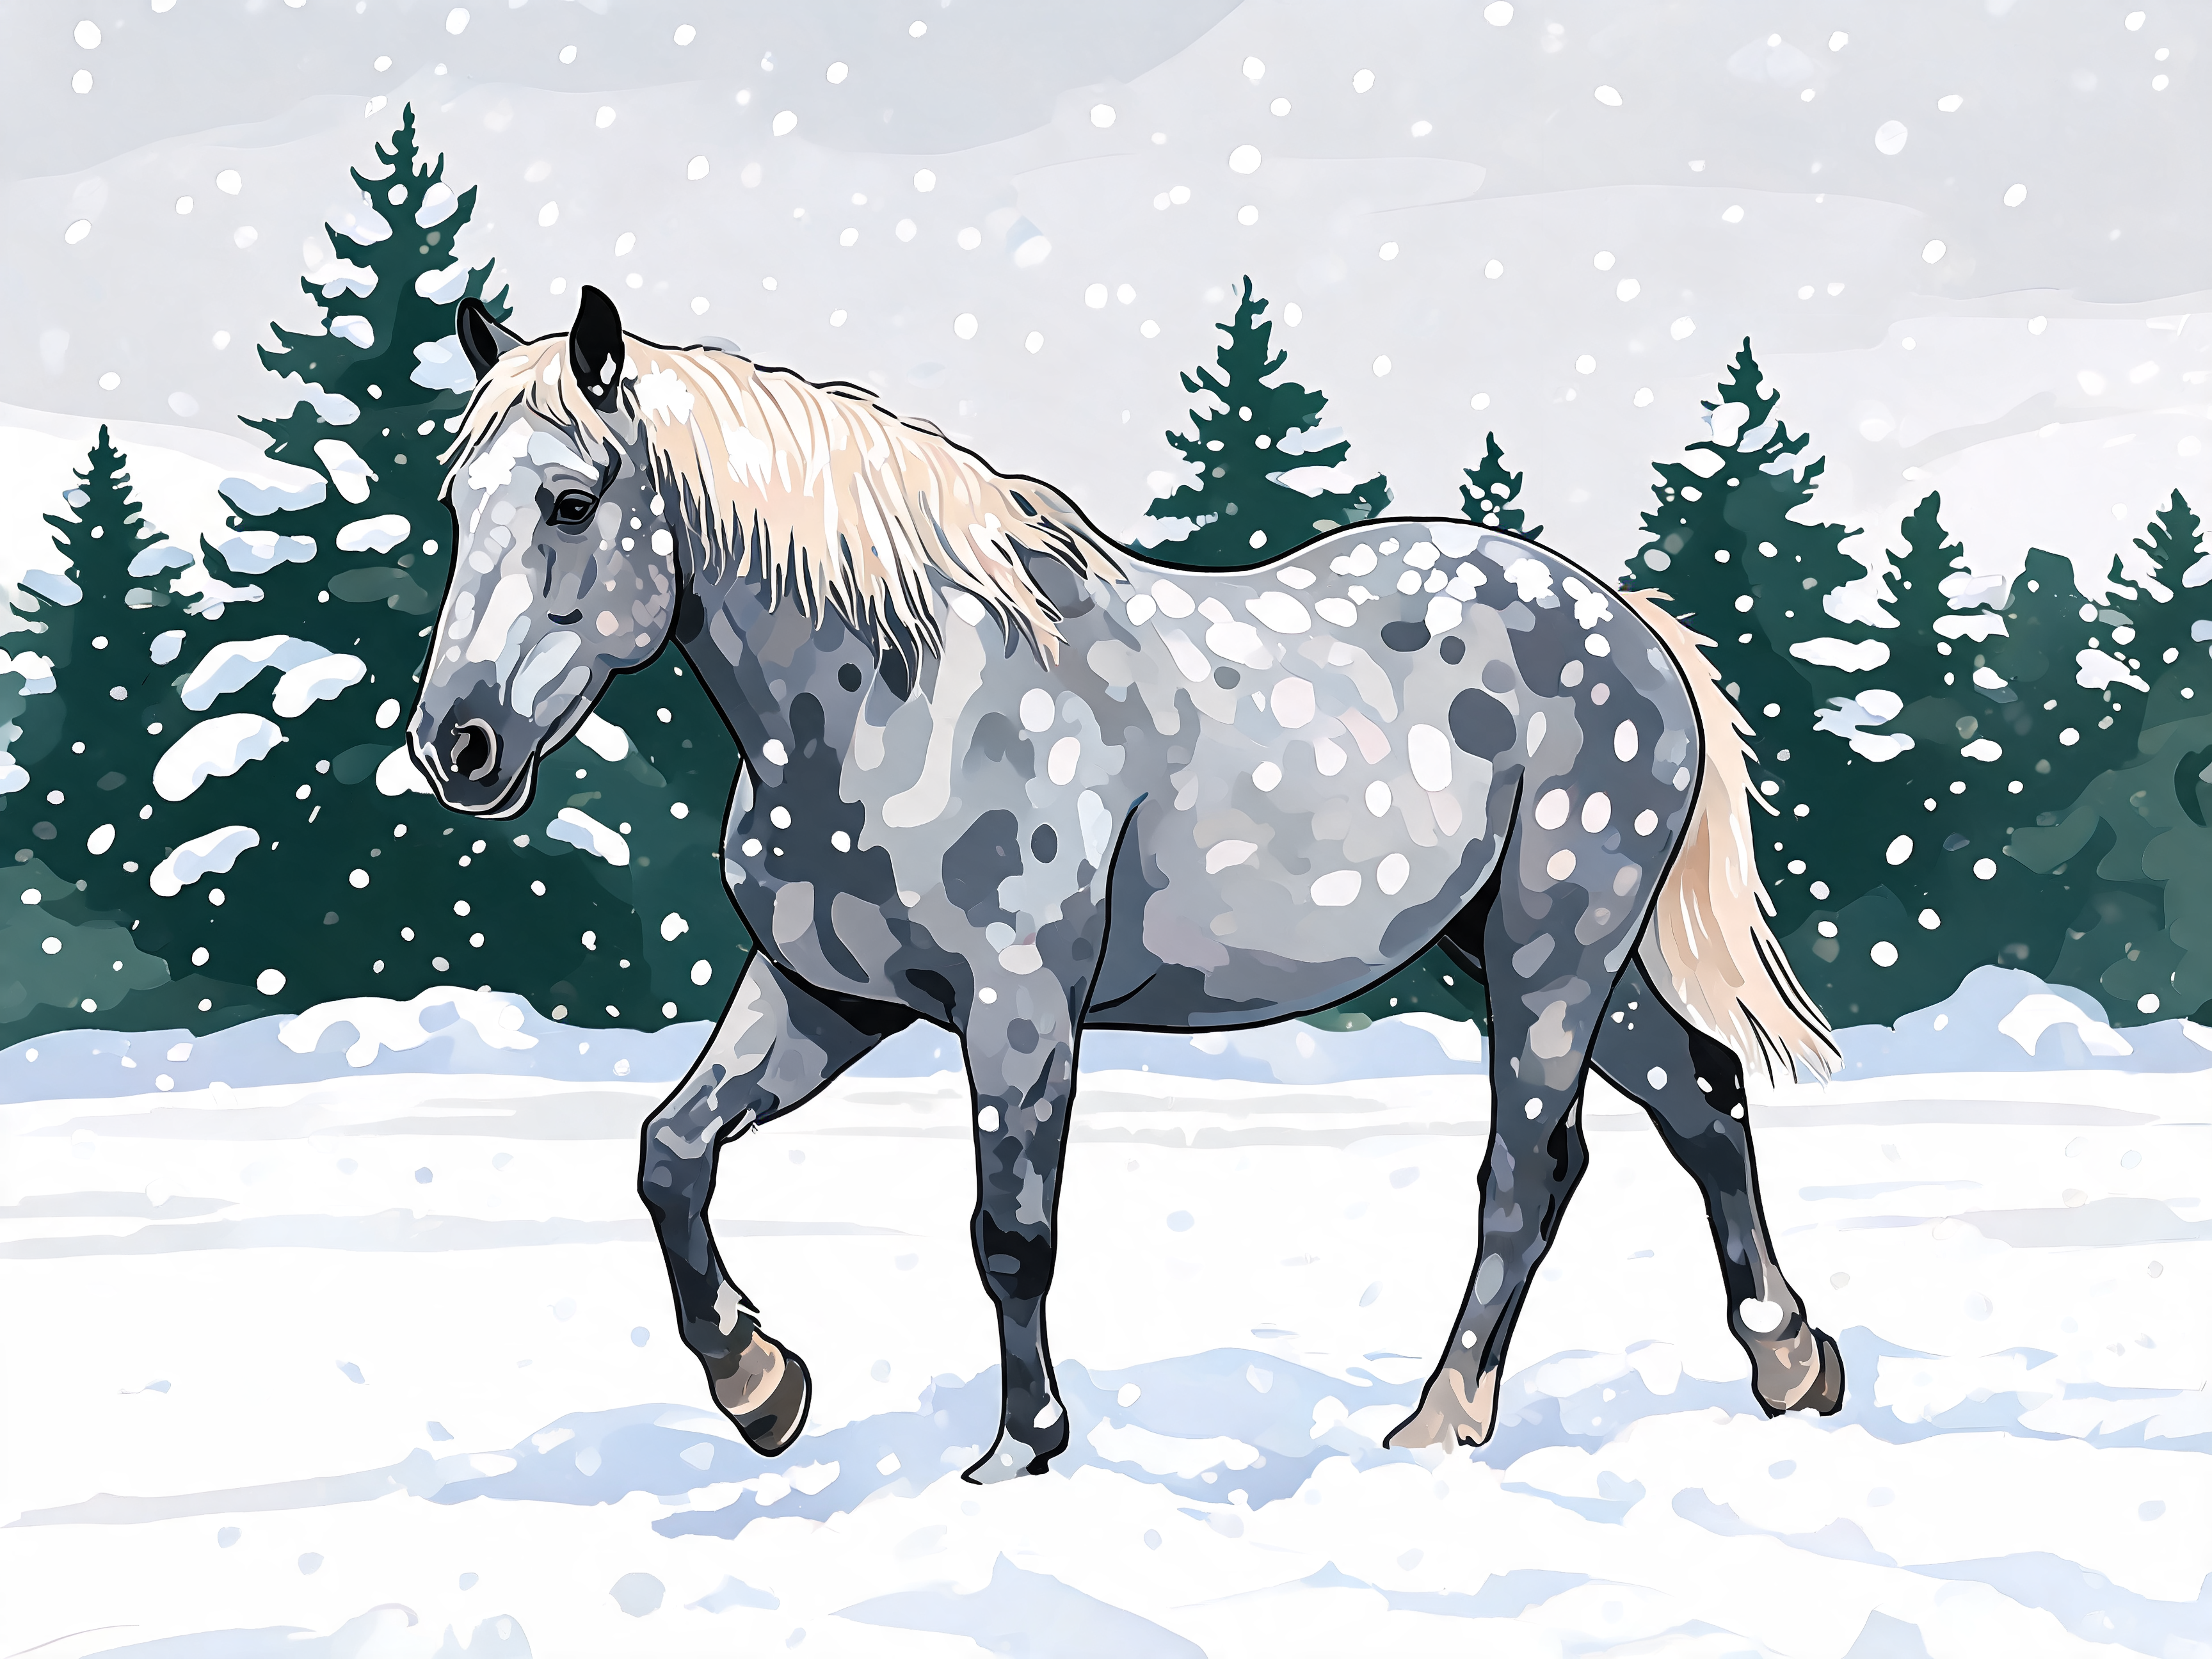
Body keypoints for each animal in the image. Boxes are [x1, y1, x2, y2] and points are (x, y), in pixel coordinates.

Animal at [410, 285, 1845, 1482]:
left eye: (571, 503)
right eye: (457, 506)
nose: (454, 746)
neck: (891, 697)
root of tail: (1627, 621)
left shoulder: (1019, 1007)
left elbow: (1011, 1231)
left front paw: (1021, 1449)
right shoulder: (825, 994)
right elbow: (672, 1152)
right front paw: (762, 1389)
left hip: (1556, 944)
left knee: (1530, 1166)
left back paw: (1442, 1421)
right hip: (1517, 945)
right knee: (1703, 1097)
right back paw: (1788, 1361)